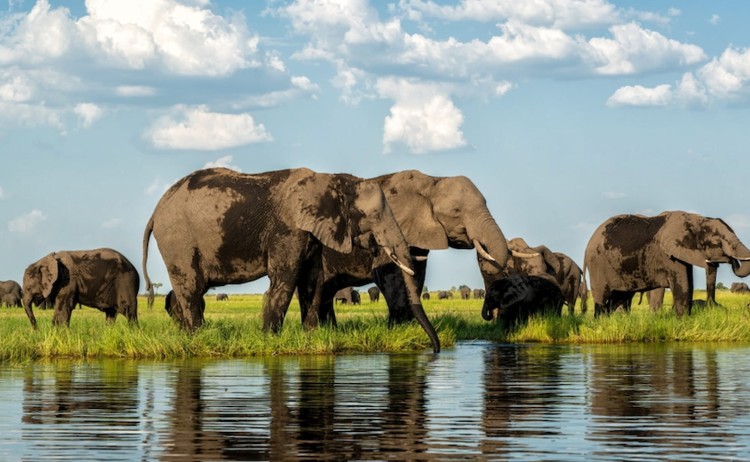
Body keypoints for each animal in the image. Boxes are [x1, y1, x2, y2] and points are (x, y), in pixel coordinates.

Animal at [142, 167, 440, 353]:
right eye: (375, 216)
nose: (435, 350)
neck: (333, 181)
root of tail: (155, 212)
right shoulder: (288, 230)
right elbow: (285, 278)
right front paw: (269, 340)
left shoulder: (312, 232)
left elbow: (312, 281)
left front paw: (311, 338)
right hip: (178, 240)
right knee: (191, 289)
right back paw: (198, 338)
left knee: (189, 290)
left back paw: (185, 336)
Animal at [301, 170, 509, 329]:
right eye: (456, 211)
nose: (485, 262)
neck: (432, 181)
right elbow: (390, 276)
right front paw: (398, 329)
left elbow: (417, 276)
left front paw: (409, 327)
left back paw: (329, 330)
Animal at [584, 211, 750, 317]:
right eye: (718, 241)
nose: (731, 260)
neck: (696, 219)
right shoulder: (667, 255)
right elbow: (683, 286)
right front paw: (682, 320)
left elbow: (689, 284)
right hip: (598, 264)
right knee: (602, 297)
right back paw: (600, 321)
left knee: (620, 297)